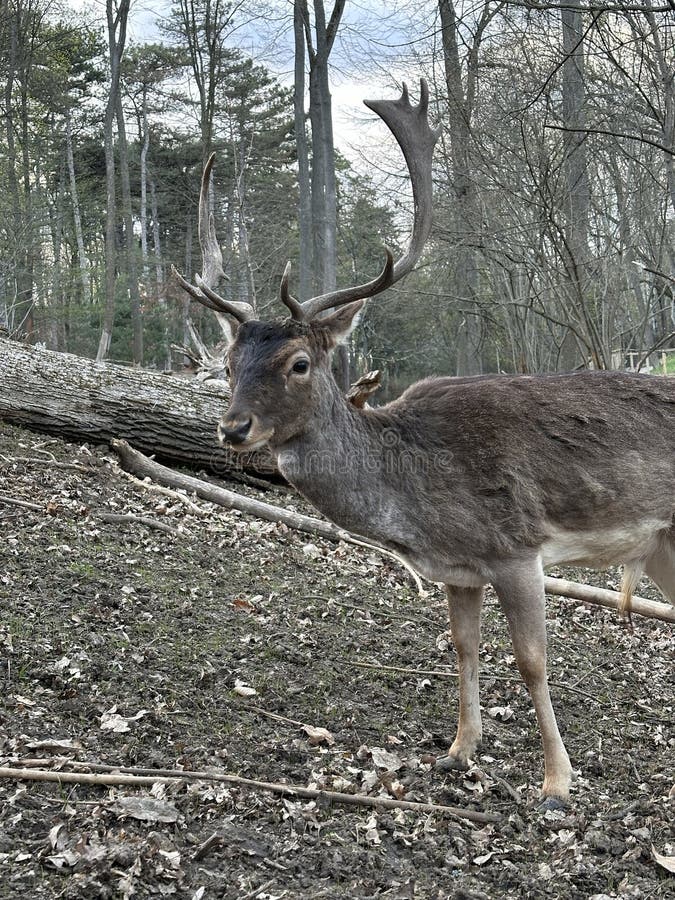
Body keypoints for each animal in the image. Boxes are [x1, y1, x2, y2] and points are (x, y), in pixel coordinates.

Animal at [176, 81, 675, 804]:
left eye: (300, 363)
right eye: (227, 361)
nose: (233, 428)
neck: (416, 500)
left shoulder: (515, 546)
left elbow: (531, 661)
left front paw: (556, 780)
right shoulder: (459, 570)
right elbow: (463, 648)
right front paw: (457, 751)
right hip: (660, 544)